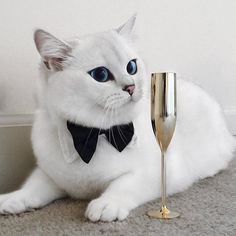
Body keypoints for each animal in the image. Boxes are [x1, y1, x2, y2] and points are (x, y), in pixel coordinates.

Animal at [0, 16, 235, 221]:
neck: (94, 135)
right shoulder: (52, 175)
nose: (131, 86)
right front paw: (14, 198)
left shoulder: (159, 171)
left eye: (132, 67)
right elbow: (33, 187)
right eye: (101, 75)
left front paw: (106, 204)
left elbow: (124, 184)